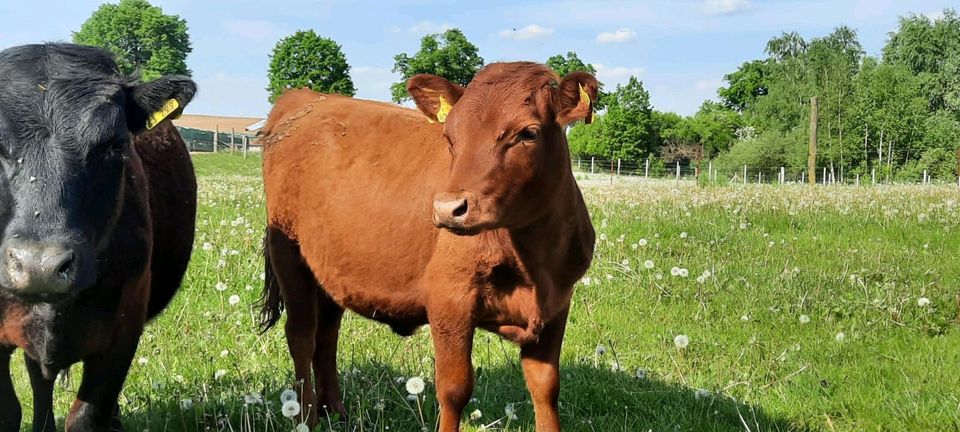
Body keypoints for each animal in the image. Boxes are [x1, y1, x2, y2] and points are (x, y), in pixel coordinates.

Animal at [258, 61, 596, 432]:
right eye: (450, 136)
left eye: (528, 133)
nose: (448, 208)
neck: (535, 265)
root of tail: (307, 97)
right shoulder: (449, 300)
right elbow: (454, 389)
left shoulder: (557, 303)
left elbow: (545, 386)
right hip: (288, 256)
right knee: (302, 335)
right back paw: (305, 416)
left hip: (330, 269)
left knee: (327, 335)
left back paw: (334, 410)